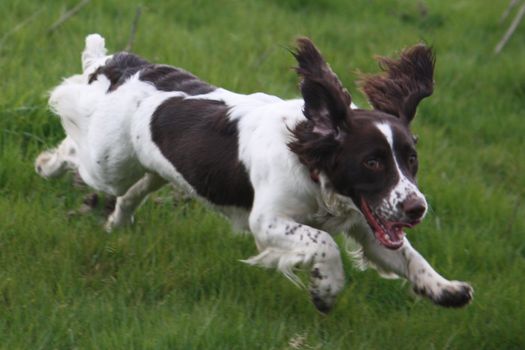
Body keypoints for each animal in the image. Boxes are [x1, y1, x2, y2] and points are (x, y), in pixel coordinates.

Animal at [34, 33, 472, 312]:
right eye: (373, 162)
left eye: (411, 159)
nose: (417, 208)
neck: (310, 161)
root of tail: (122, 66)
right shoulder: (267, 221)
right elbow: (324, 243)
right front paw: (326, 291)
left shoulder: (367, 225)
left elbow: (410, 258)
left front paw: (448, 290)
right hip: (107, 161)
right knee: (76, 143)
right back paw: (47, 165)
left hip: (155, 169)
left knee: (131, 193)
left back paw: (116, 224)